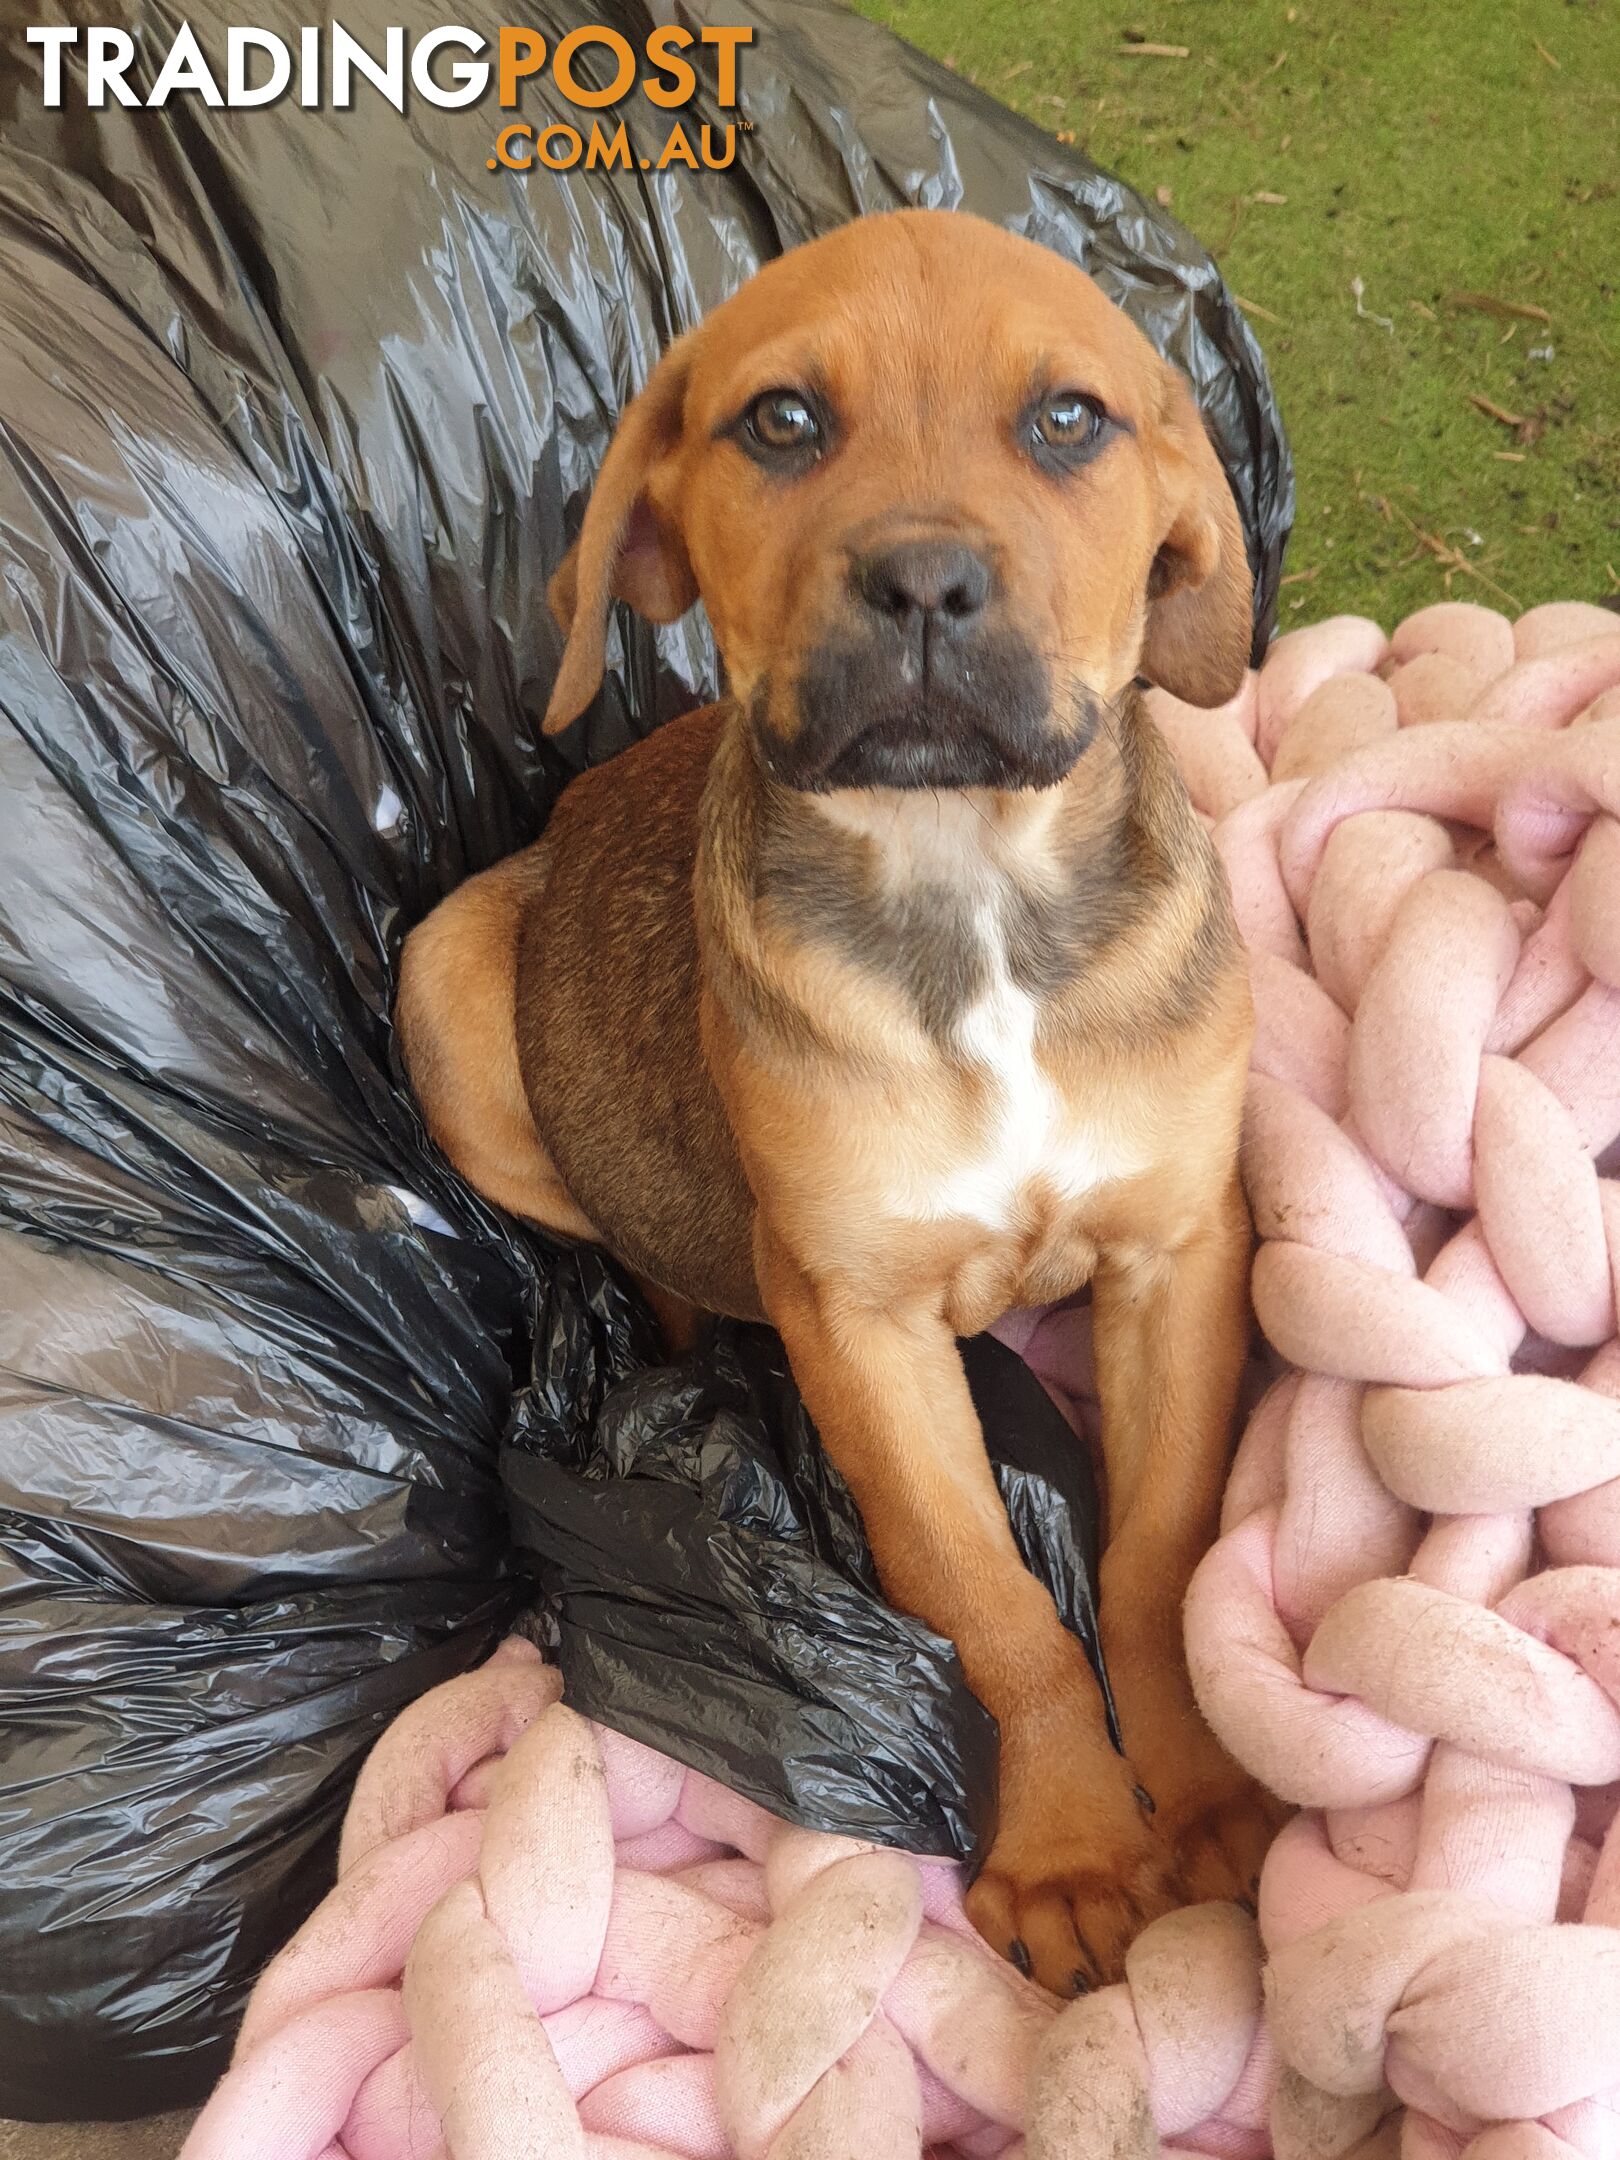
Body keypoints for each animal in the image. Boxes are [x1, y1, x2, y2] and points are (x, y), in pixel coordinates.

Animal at [397, 214, 1278, 1987]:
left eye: (1068, 420)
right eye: (783, 422)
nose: (925, 583)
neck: (972, 891)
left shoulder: (1182, 1253)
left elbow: (1158, 1548)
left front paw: (1208, 1790)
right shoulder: (857, 1317)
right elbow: (988, 1596)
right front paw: (1073, 1848)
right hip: (447, 988)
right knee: (650, 1255)